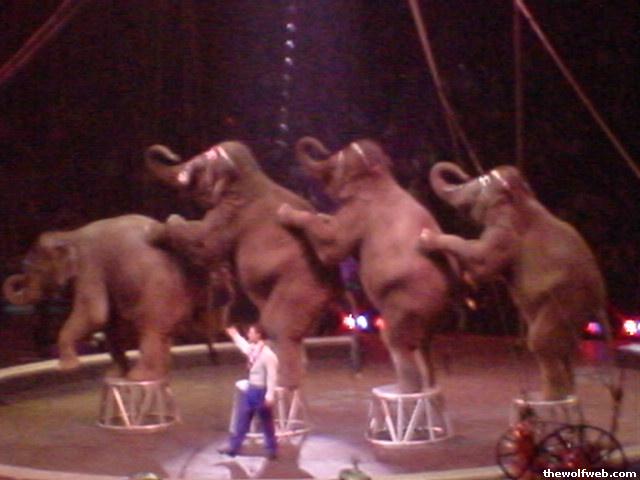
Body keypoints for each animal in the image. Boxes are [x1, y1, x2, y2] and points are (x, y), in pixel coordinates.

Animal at [2, 214, 222, 380]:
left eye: (35, 270)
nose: (16, 278)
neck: (68, 234)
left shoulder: (90, 267)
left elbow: (94, 314)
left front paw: (67, 368)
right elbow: (109, 323)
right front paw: (114, 375)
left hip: (159, 293)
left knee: (150, 329)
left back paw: (139, 377)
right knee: (162, 334)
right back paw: (156, 374)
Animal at [144, 141, 340, 389]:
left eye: (200, 163)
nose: (172, 154)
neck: (249, 175)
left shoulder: (231, 211)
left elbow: (205, 245)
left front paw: (156, 231)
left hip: (301, 287)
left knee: (278, 326)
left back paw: (282, 386)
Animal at [277, 137, 452, 393]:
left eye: (334, 164)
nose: (321, 147)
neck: (380, 176)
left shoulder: (358, 212)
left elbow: (332, 247)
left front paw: (285, 211)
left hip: (407, 302)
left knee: (395, 340)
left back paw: (404, 390)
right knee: (424, 347)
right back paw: (427, 386)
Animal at [419, 162, 608, 400]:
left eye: (481, 183)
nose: (464, 172)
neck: (522, 195)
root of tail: (599, 300)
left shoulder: (505, 232)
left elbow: (482, 260)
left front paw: (426, 239)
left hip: (568, 299)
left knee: (540, 341)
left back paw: (549, 398)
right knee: (565, 346)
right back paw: (563, 394)